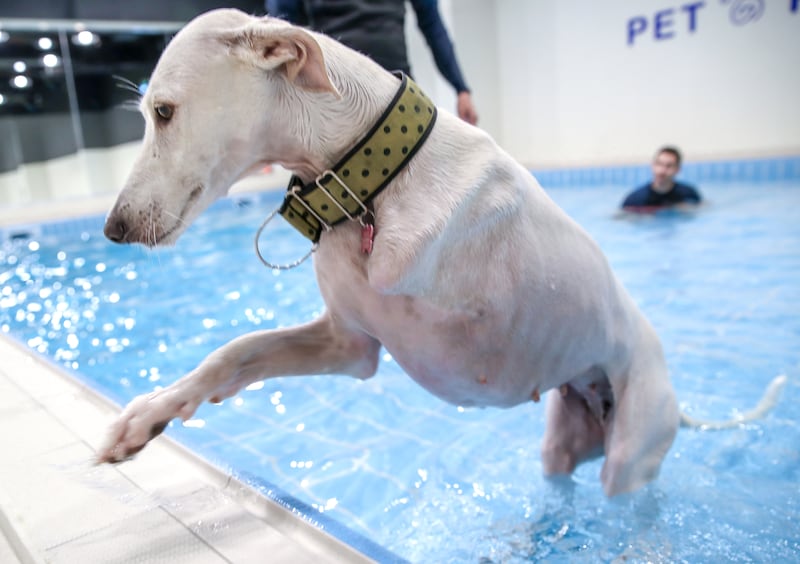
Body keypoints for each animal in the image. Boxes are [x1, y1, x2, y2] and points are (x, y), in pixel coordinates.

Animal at [97, 7, 784, 494]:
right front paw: (150, 416)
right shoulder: (351, 345)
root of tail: (670, 390)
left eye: (164, 111)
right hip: (563, 445)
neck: (372, 183)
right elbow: (234, 352)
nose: (113, 228)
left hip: (631, 458)